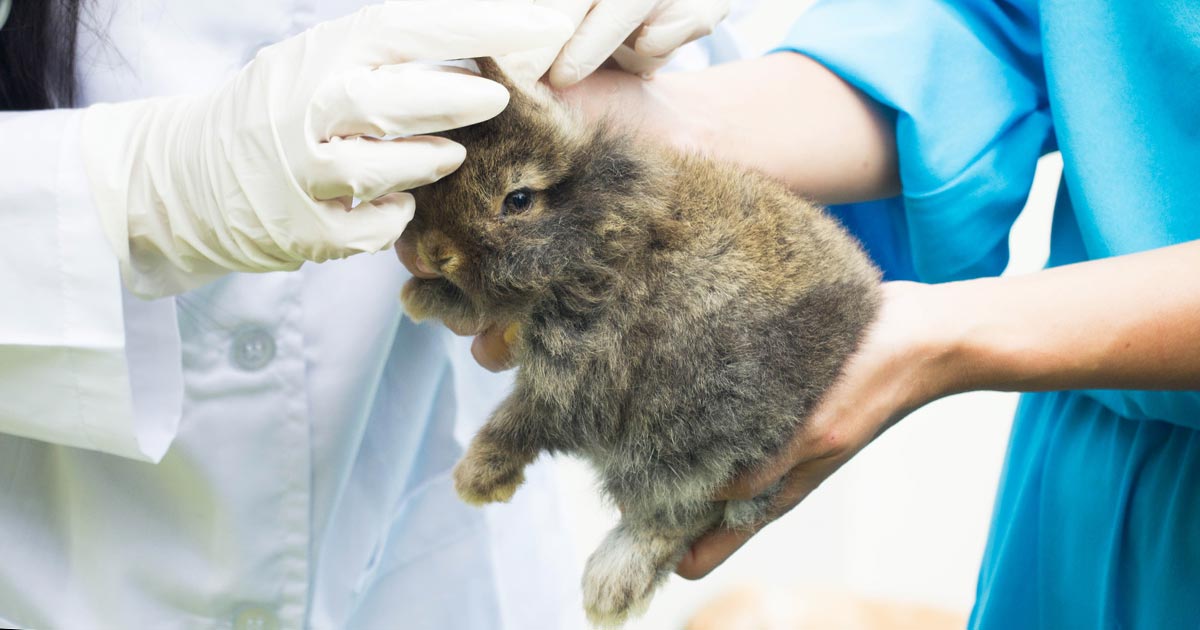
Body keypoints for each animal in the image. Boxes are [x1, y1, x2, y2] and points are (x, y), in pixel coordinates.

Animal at [400, 57, 883, 624]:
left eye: (517, 199)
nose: (435, 252)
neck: (606, 228)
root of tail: (863, 309)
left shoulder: (575, 374)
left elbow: (518, 424)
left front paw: (475, 479)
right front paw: (420, 295)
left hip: (690, 442)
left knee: (681, 512)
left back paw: (610, 588)